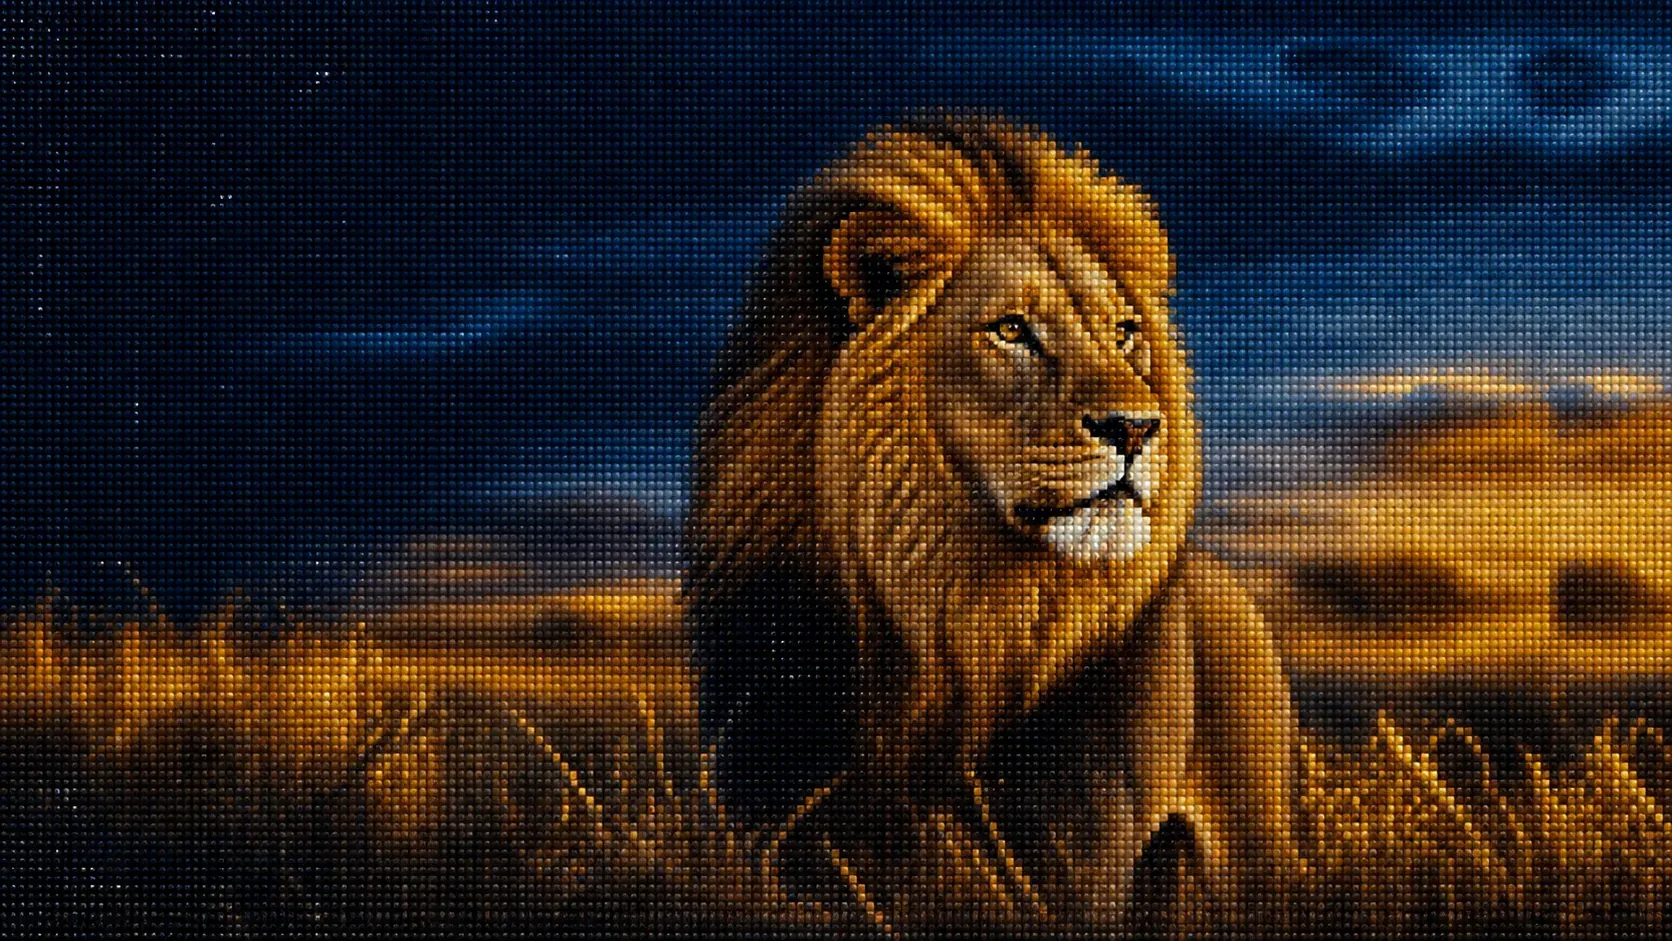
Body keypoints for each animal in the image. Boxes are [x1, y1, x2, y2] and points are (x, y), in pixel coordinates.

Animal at [688, 115, 1299, 934]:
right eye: (1011, 329)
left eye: (1124, 332)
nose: (1139, 427)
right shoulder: (781, 824)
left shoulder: (1078, 852)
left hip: (1248, 845)